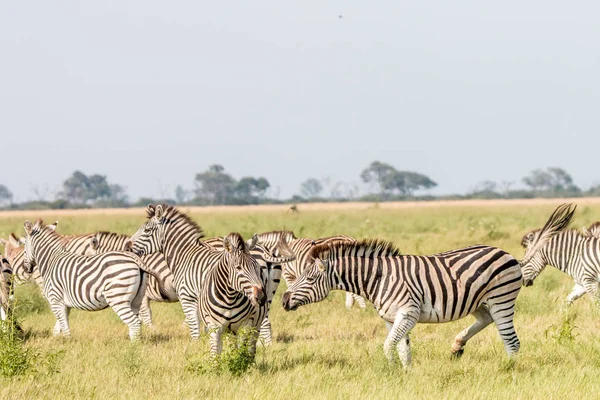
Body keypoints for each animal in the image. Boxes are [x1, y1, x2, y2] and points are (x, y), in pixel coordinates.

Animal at [22, 219, 155, 340]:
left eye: (24, 247)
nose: (25, 268)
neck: (51, 260)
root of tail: (134, 259)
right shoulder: (64, 304)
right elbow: (58, 327)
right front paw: (58, 342)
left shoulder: (55, 300)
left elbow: (64, 327)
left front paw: (68, 344)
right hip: (136, 299)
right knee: (137, 322)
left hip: (117, 297)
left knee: (134, 323)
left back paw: (132, 348)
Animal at [130, 203, 274, 350]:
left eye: (147, 230)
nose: (128, 246)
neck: (185, 255)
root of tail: (264, 251)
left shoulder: (187, 297)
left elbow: (194, 328)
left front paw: (195, 347)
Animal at [284, 205, 576, 368]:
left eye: (309, 279)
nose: (285, 301)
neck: (378, 278)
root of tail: (510, 255)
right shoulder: (392, 318)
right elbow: (401, 347)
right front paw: (404, 374)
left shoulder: (408, 312)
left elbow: (388, 346)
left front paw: (391, 372)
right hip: (478, 300)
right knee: (485, 320)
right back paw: (457, 346)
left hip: (501, 298)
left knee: (511, 340)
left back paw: (508, 370)